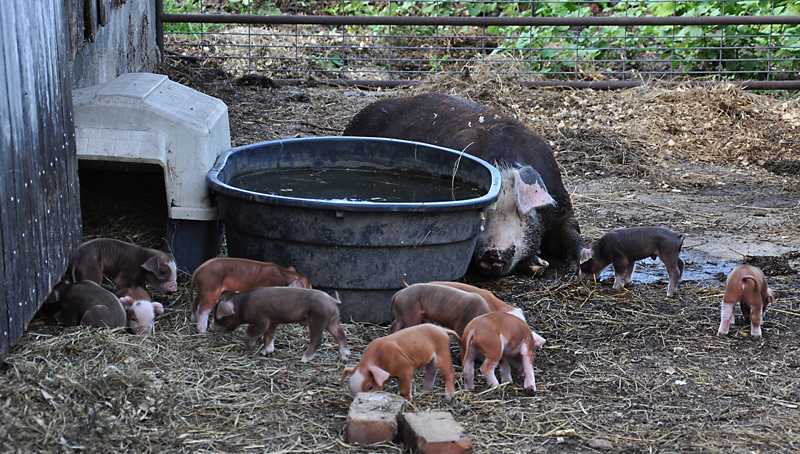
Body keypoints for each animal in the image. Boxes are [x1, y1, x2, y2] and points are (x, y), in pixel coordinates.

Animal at [208, 286, 349, 362]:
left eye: (218, 316)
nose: (211, 327)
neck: (242, 305)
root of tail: (332, 300)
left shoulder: (261, 321)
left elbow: (250, 334)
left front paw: (252, 347)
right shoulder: (273, 321)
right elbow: (269, 336)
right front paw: (265, 352)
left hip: (317, 319)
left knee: (318, 339)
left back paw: (304, 359)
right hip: (332, 320)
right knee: (341, 334)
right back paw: (345, 357)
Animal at [344, 93, 584, 275]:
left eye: (516, 209)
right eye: (483, 213)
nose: (491, 253)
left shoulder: (562, 206)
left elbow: (571, 232)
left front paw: (580, 262)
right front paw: (539, 265)